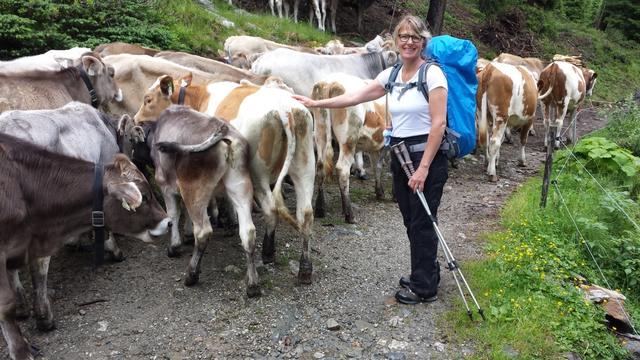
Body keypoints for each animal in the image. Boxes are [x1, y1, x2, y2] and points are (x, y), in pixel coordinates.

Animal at [120, 106, 262, 296]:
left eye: (132, 141)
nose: (134, 160)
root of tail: (226, 133)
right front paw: (186, 234)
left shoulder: (166, 186)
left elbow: (173, 215)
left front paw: (174, 246)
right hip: (239, 188)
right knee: (248, 232)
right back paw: (252, 284)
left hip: (194, 190)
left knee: (203, 232)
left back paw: (191, 274)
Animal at [133, 74, 318, 284]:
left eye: (148, 100)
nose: (135, 119)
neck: (199, 97)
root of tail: (284, 109)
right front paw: (229, 220)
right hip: (305, 166)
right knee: (305, 214)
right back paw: (304, 269)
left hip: (258, 172)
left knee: (271, 210)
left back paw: (268, 252)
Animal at [310, 74, 384, 224]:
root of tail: (330, 82)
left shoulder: (375, 146)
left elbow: (376, 167)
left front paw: (379, 191)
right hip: (348, 137)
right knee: (342, 169)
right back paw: (350, 215)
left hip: (320, 132)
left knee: (320, 168)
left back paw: (320, 209)